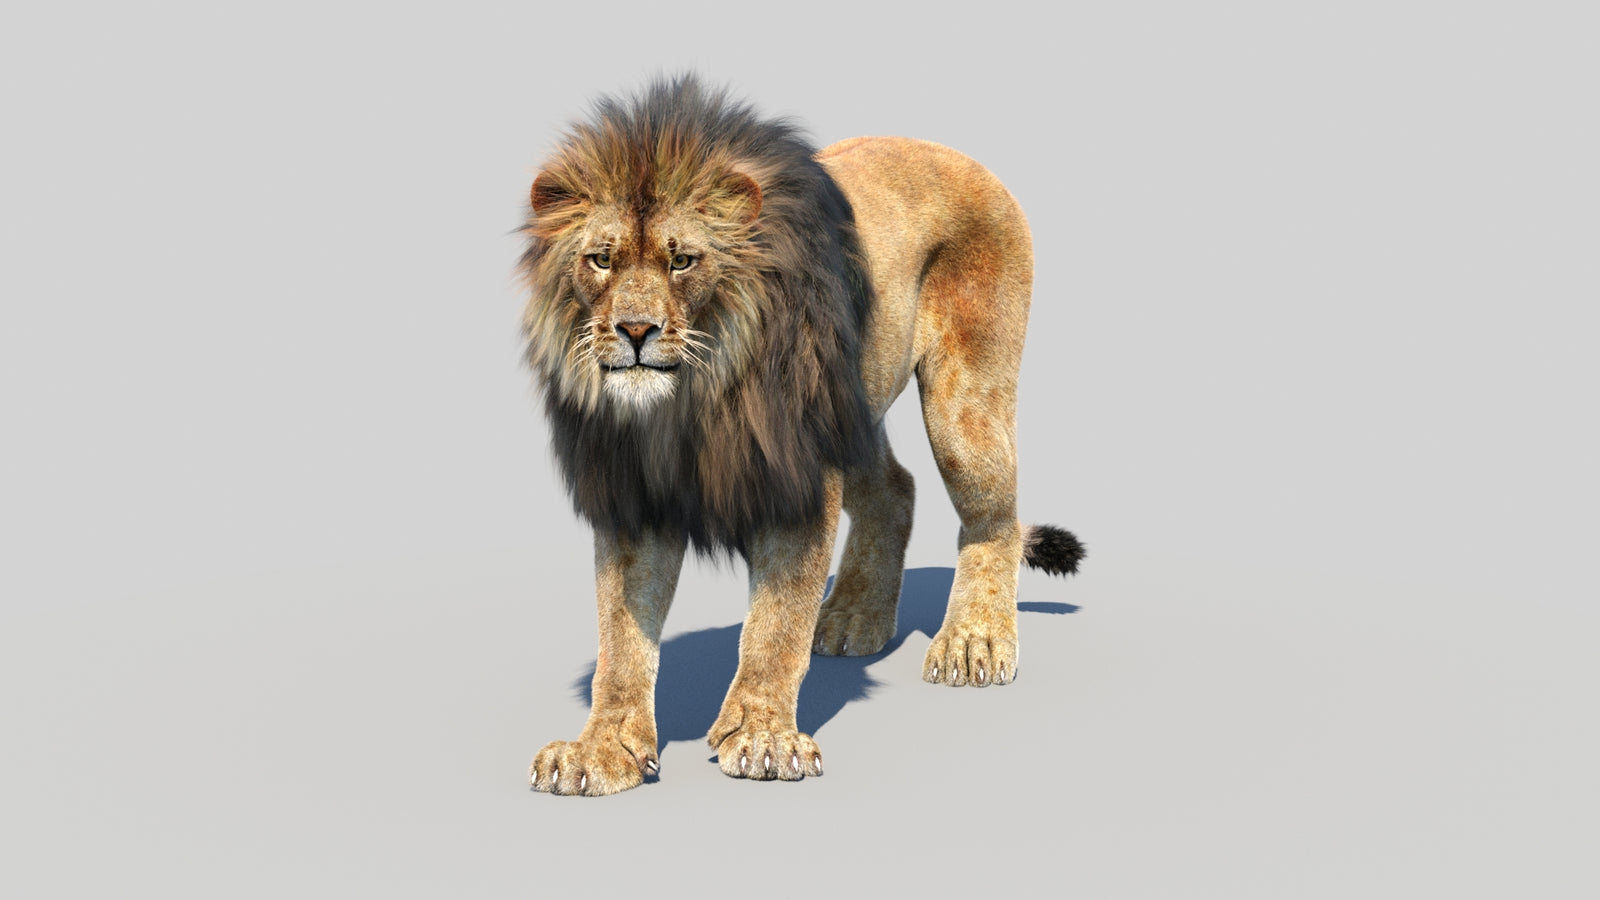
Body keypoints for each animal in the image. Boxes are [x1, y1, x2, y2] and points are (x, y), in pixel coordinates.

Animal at [521, 75, 1084, 796]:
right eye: (600, 260)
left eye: (682, 261)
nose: (636, 331)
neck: (692, 400)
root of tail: (961, 157)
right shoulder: (633, 498)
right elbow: (620, 640)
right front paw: (602, 749)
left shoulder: (798, 474)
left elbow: (775, 623)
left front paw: (764, 737)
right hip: (854, 406)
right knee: (897, 488)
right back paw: (851, 616)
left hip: (964, 404)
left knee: (995, 518)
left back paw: (973, 642)